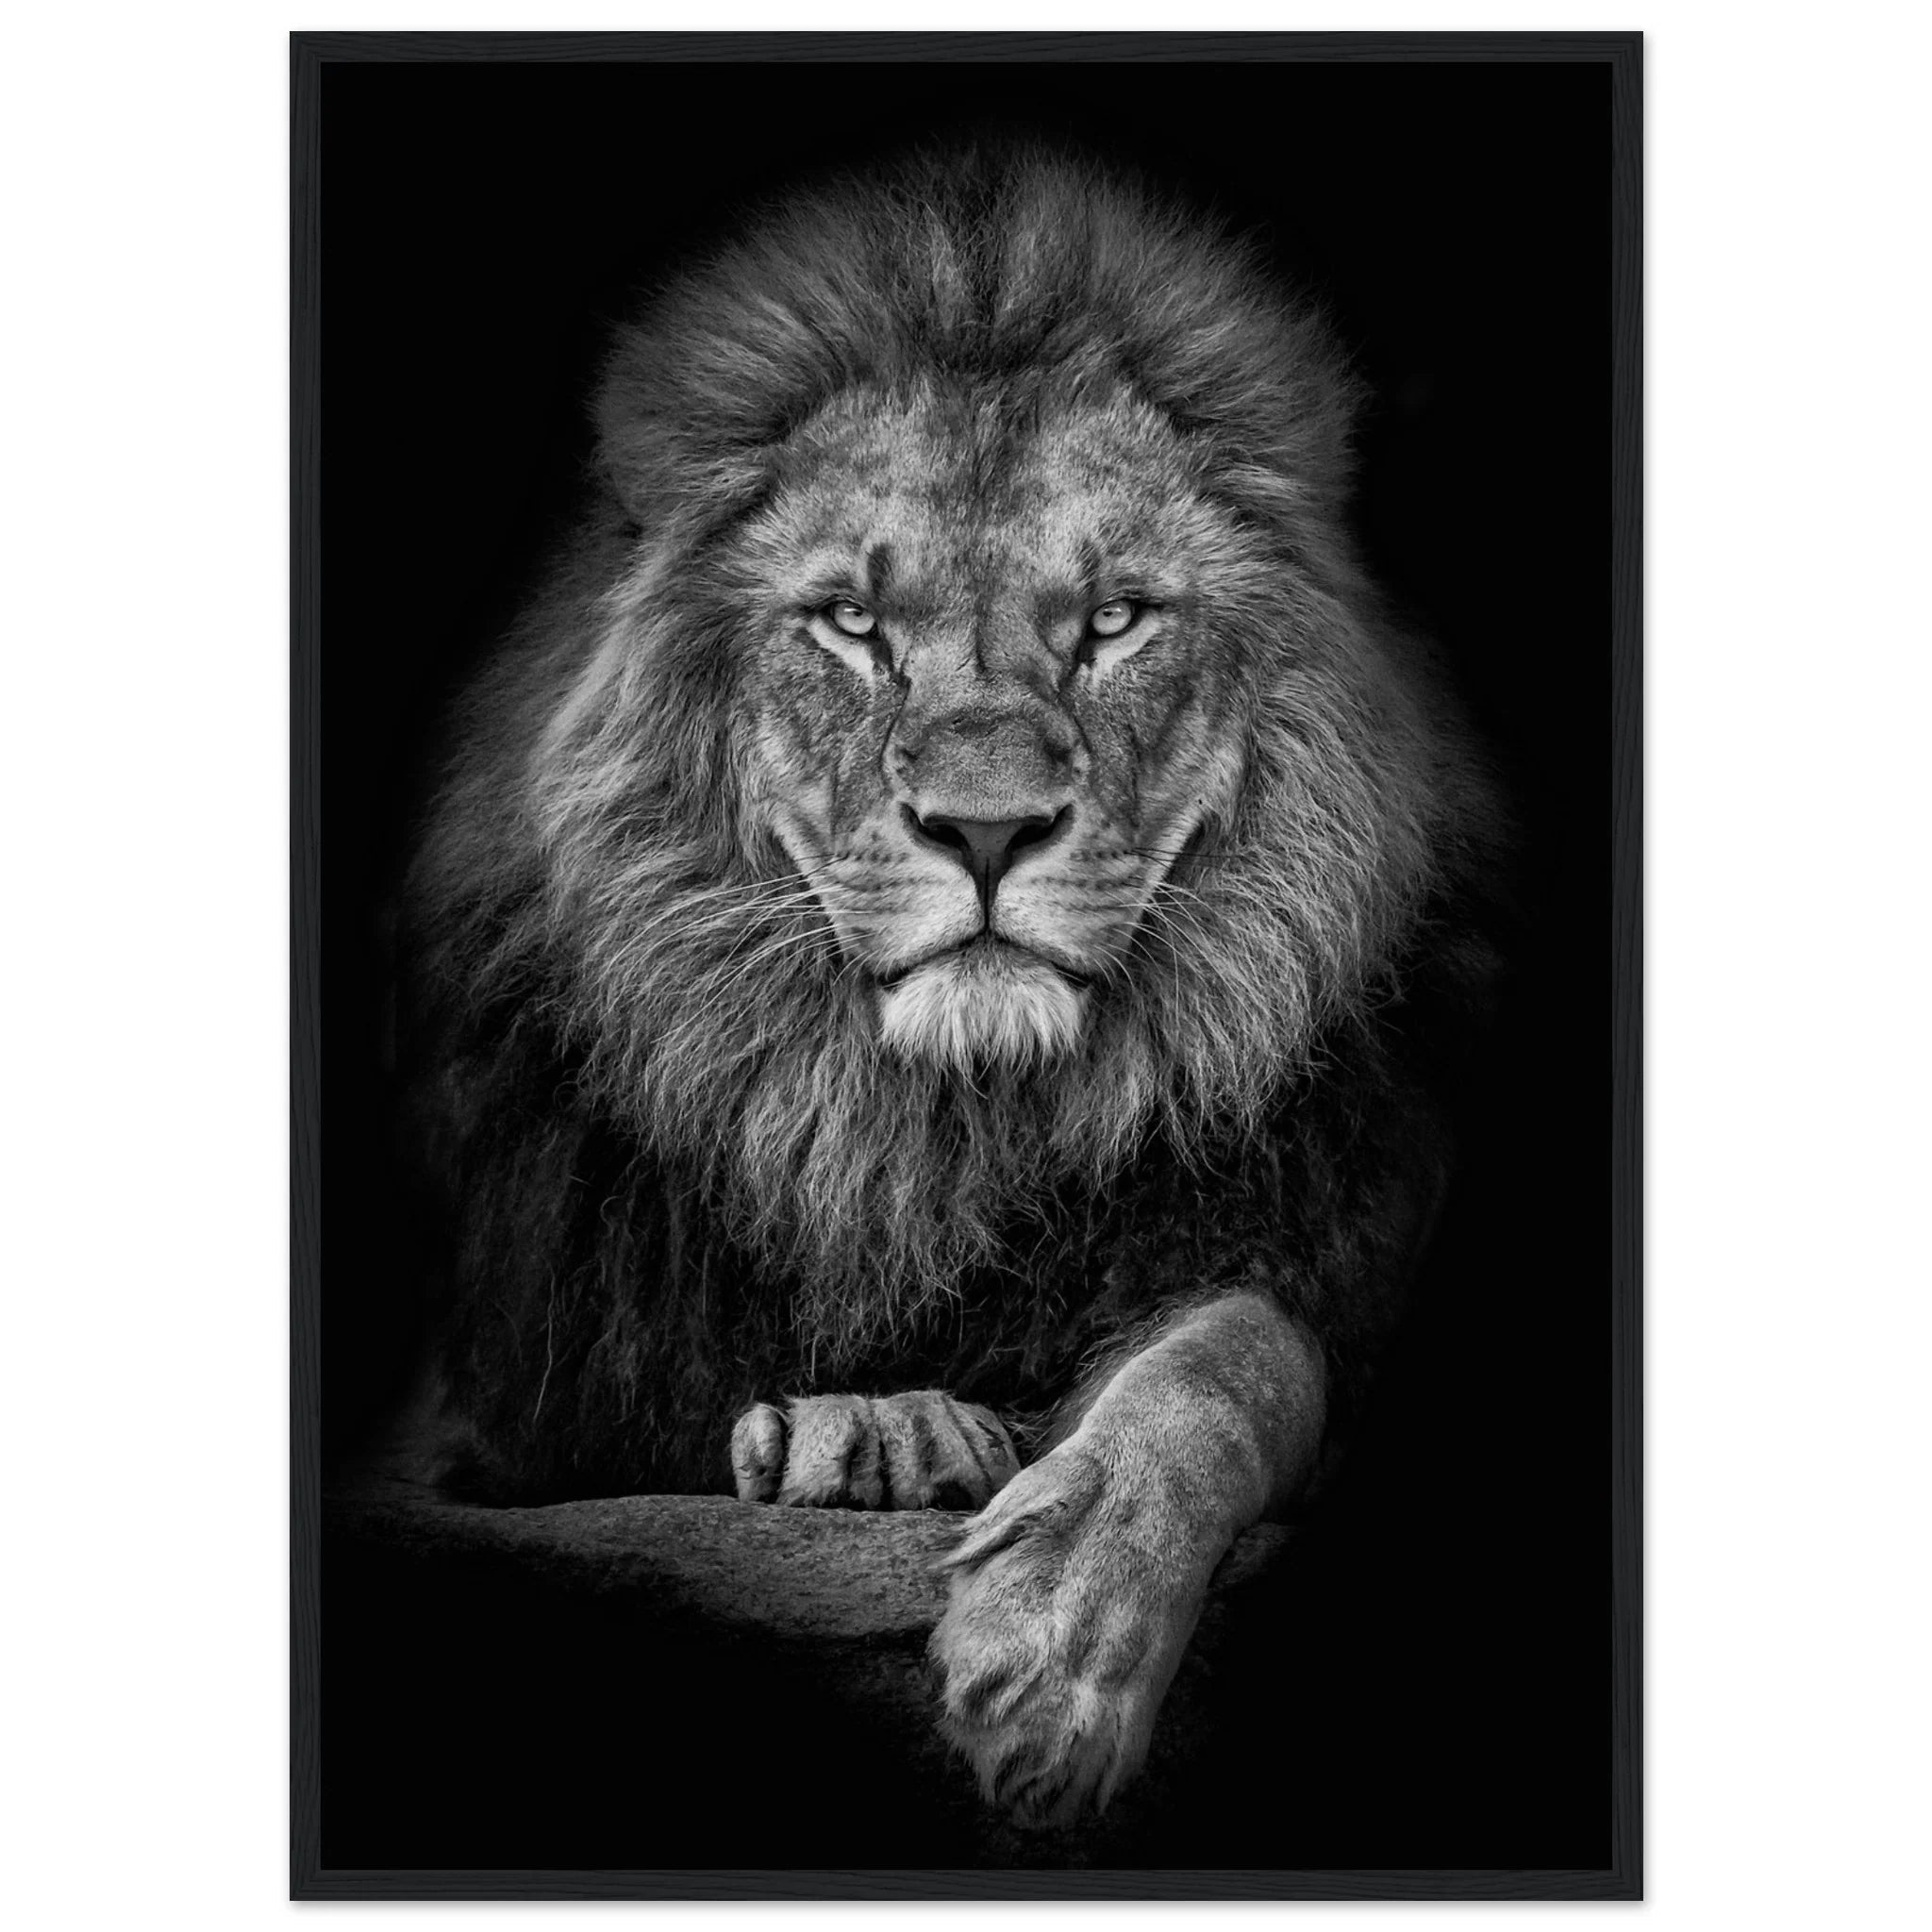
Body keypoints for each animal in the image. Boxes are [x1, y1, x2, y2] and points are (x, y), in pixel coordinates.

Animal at [396, 144, 1506, 1829]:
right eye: (854, 624)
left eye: (1112, 619)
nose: (985, 830)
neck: (933, 1137)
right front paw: (876, 1428)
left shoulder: (1325, 1249)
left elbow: (1230, 1361)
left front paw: (1057, 1648)